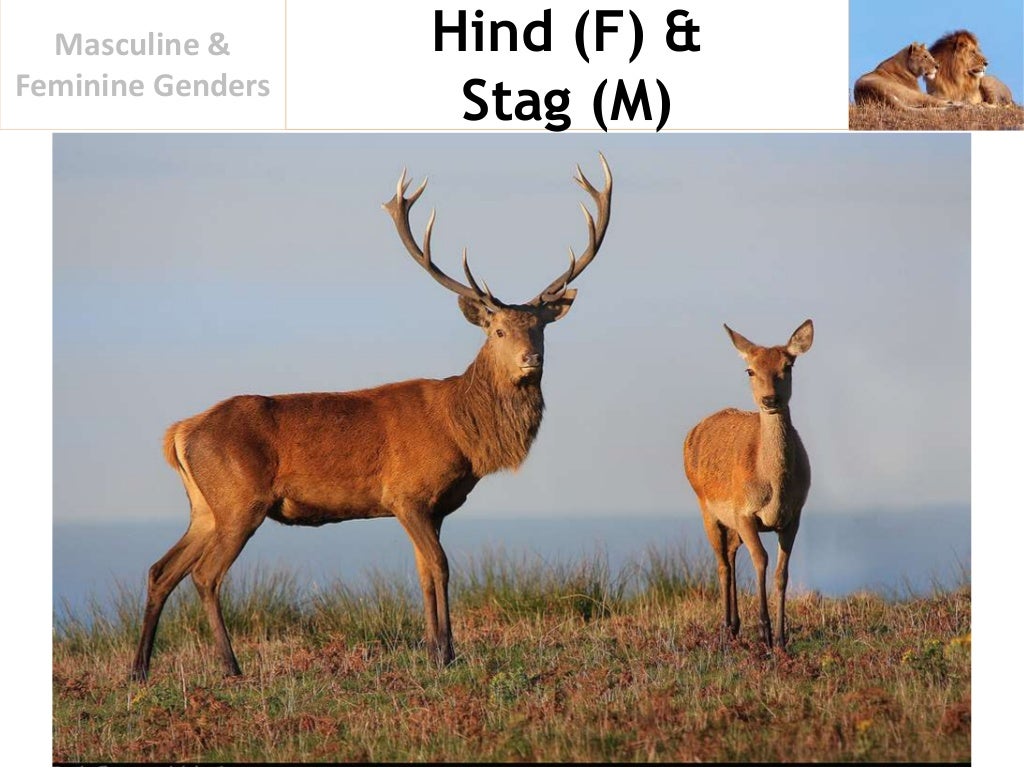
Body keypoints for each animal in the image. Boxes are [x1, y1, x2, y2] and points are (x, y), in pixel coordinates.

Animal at [130, 155, 612, 681]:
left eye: (541, 328)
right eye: (499, 330)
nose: (531, 360)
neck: (463, 435)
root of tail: (178, 433)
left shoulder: (435, 506)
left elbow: (425, 572)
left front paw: (436, 650)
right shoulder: (407, 494)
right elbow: (440, 567)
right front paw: (446, 653)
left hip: (204, 506)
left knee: (161, 569)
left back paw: (139, 669)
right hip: (240, 501)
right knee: (205, 575)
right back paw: (231, 667)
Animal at [682, 320, 813, 651]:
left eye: (788, 365)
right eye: (750, 370)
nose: (770, 400)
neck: (775, 490)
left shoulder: (794, 515)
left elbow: (781, 573)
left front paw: (781, 638)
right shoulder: (744, 513)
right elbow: (761, 561)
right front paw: (764, 633)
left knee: (730, 554)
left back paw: (735, 626)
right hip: (706, 508)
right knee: (721, 564)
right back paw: (725, 627)